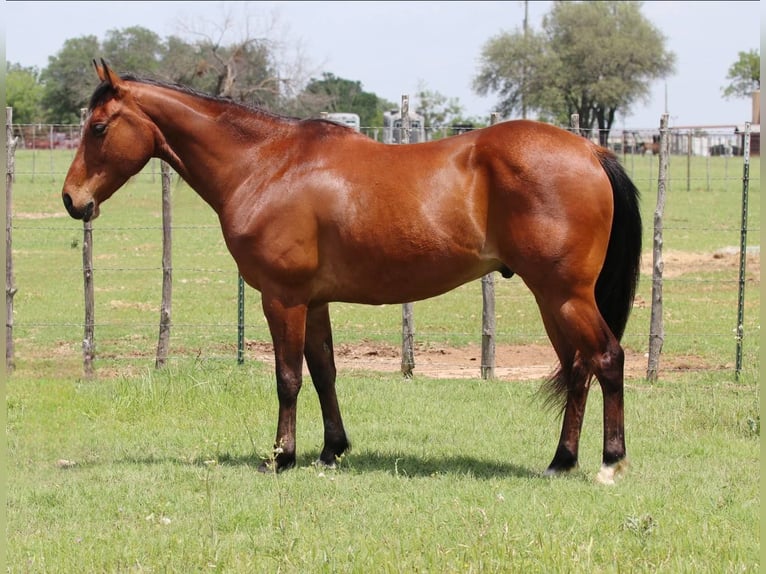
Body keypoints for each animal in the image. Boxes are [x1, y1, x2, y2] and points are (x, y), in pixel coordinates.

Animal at [62, 60, 642, 484]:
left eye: (98, 127)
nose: (71, 200)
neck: (266, 164)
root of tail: (591, 148)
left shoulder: (283, 298)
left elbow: (288, 377)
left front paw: (282, 456)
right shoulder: (314, 301)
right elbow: (324, 373)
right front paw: (331, 450)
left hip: (564, 294)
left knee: (606, 358)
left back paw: (610, 463)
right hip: (553, 298)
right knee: (579, 368)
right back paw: (561, 461)